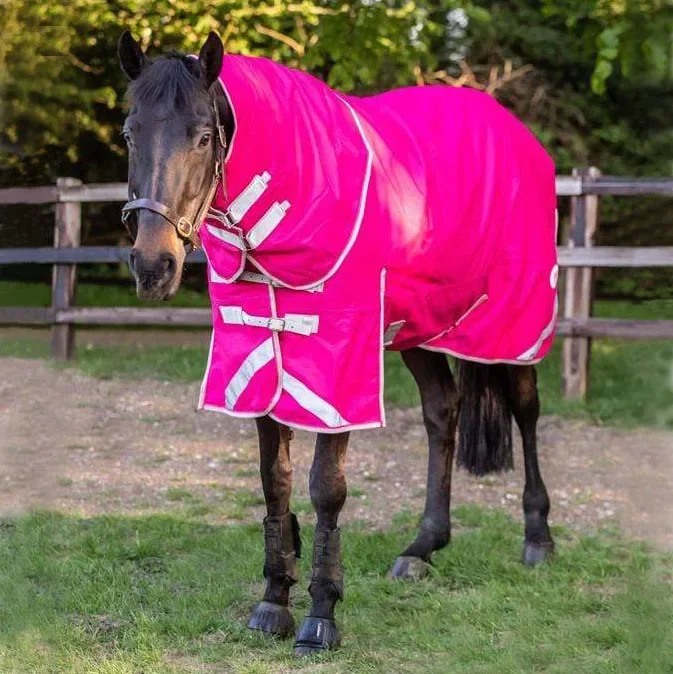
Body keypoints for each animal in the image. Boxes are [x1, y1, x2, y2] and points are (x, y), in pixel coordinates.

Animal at [117, 30, 556, 656]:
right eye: (130, 134)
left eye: (203, 136)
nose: (154, 265)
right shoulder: (260, 353)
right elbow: (273, 480)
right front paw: (274, 601)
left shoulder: (339, 361)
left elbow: (326, 487)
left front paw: (321, 615)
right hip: (420, 325)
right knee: (442, 411)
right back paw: (422, 547)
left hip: (512, 324)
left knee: (525, 408)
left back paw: (538, 538)